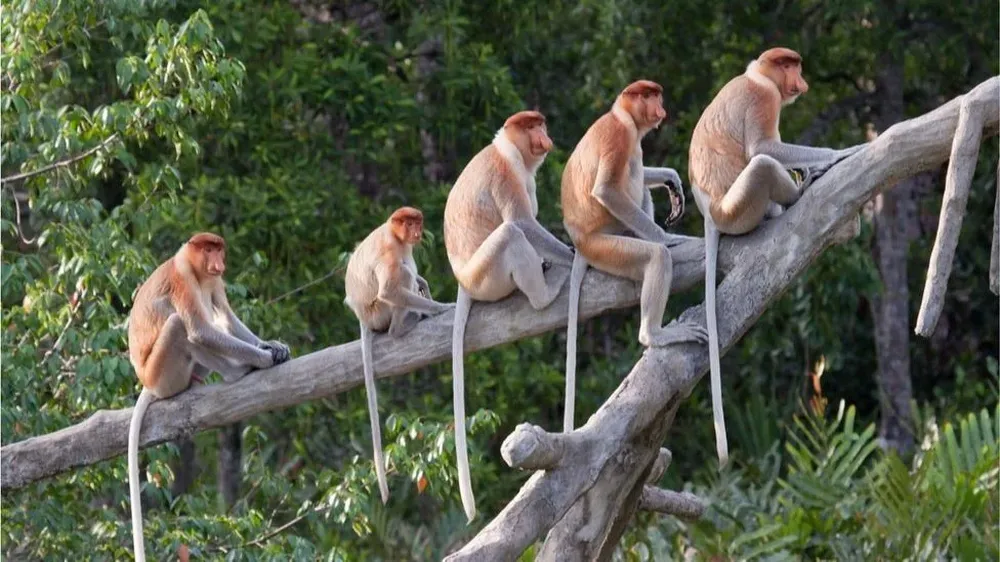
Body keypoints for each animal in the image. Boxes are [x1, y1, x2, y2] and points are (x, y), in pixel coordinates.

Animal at [127, 233, 291, 562]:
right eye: (208, 249)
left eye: (219, 249)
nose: (218, 262)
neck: (196, 269)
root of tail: (147, 381)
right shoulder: (183, 278)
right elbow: (200, 330)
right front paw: (262, 359)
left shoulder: (215, 281)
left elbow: (226, 317)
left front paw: (271, 345)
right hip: (164, 374)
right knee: (181, 326)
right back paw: (238, 371)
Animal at [344, 206, 453, 504]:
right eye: (408, 223)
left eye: (417, 222)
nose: (416, 231)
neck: (393, 233)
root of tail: (362, 318)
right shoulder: (390, 249)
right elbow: (390, 289)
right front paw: (440, 307)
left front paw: (425, 285)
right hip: (379, 312)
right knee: (401, 277)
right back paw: (404, 325)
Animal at [444, 110, 574, 521]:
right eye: (532, 126)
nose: (545, 137)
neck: (508, 149)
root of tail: (463, 280)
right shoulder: (505, 174)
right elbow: (524, 222)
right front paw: (573, 255)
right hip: (488, 275)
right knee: (511, 234)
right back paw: (545, 293)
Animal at [560, 80, 708, 432]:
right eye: (650, 96)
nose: (661, 108)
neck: (622, 116)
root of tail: (581, 243)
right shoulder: (620, 136)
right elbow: (607, 190)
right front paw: (669, 238)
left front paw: (671, 179)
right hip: (607, 245)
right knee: (653, 254)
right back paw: (655, 334)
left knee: (640, 183)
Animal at [689, 47, 866, 467]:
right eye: (789, 66)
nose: (801, 81)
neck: (757, 76)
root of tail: (711, 213)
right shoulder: (763, 99)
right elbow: (763, 148)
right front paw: (838, 154)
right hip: (740, 207)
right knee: (763, 164)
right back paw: (798, 192)